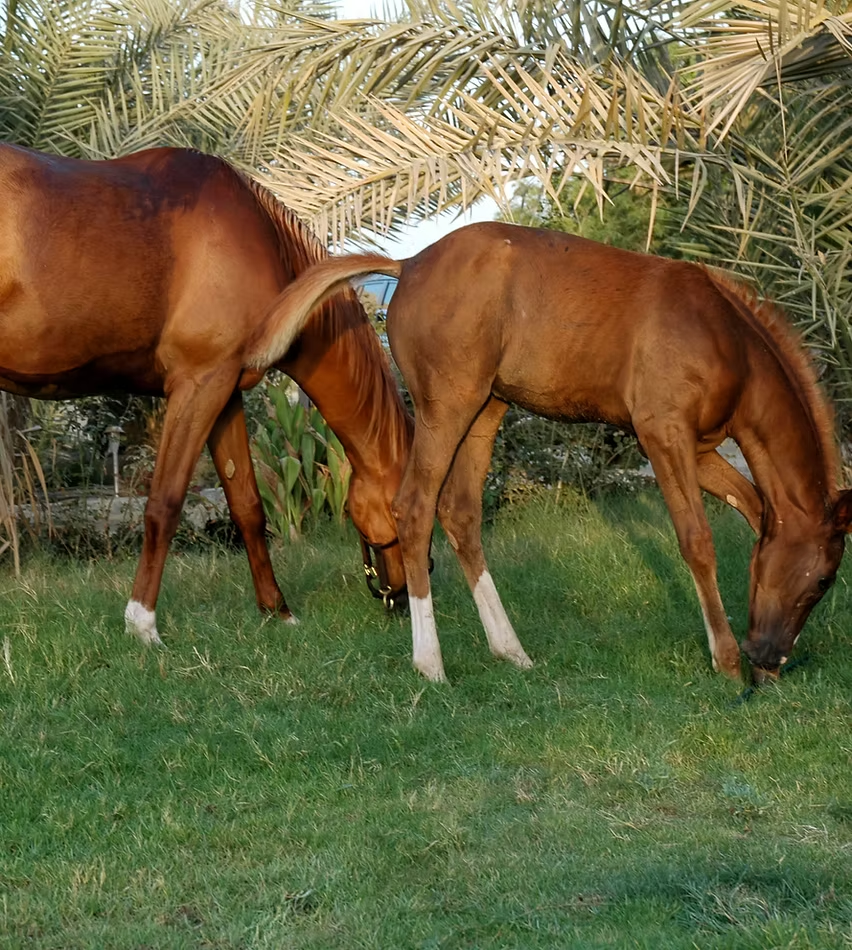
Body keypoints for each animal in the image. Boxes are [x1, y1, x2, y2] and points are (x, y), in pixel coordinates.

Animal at [0, 143, 411, 644]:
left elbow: (248, 506)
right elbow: (164, 504)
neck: (262, 241)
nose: (406, 596)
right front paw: (142, 624)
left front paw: (278, 611)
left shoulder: (225, 393)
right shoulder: (198, 385)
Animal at [244, 221, 852, 684]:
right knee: (414, 508)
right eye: (824, 579)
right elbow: (697, 540)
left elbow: (754, 508)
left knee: (460, 513)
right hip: (449, 408)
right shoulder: (663, 435)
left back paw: (510, 650)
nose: (769, 659)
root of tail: (408, 264)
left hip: (486, 410)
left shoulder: (697, 448)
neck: (725, 338)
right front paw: (725, 661)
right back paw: (430, 664)